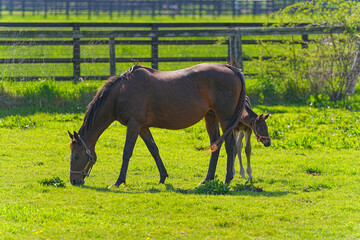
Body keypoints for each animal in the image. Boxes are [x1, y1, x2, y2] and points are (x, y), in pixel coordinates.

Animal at [67, 62, 246, 187]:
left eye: (76, 156)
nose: (74, 181)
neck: (121, 92)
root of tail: (231, 69)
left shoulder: (134, 125)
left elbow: (127, 152)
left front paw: (119, 181)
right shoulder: (142, 127)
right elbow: (153, 149)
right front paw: (163, 177)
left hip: (225, 118)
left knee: (229, 145)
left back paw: (227, 179)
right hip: (210, 117)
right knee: (215, 144)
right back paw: (207, 179)